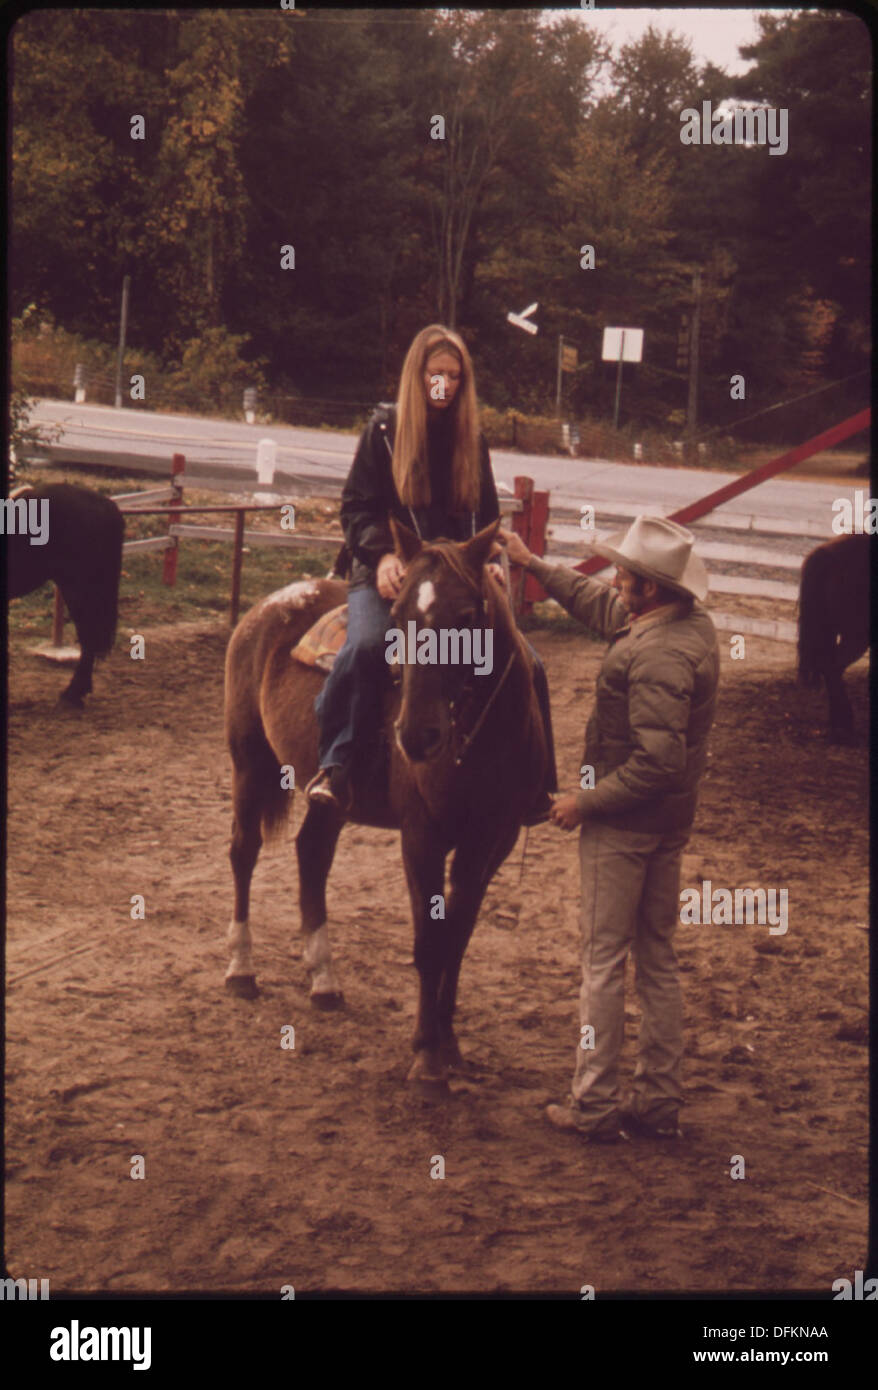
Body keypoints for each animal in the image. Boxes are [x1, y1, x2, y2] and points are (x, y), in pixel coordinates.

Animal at [222, 517, 544, 1089]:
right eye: (397, 619)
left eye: (468, 616)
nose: (416, 735)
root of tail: (266, 608)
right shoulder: (421, 837)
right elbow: (429, 942)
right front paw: (426, 1055)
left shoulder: (491, 841)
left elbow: (458, 937)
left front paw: (450, 1043)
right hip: (249, 762)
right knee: (244, 851)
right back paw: (242, 968)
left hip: (331, 796)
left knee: (312, 855)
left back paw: (324, 979)